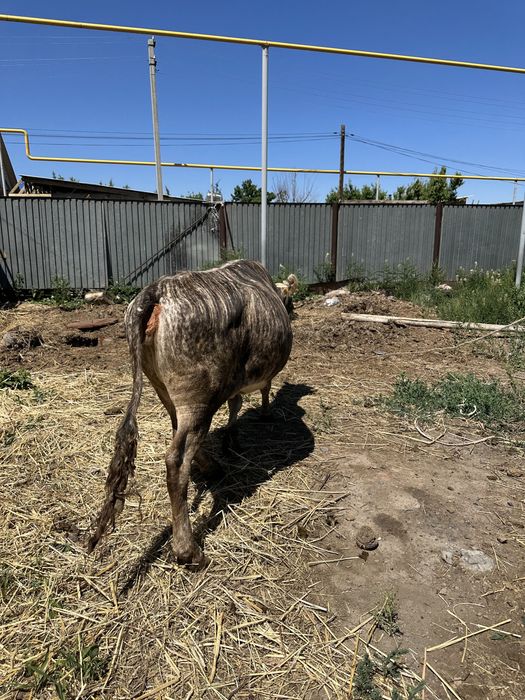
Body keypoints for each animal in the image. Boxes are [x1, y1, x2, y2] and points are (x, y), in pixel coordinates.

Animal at [88, 260, 293, 567]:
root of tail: (157, 289)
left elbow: (236, 405)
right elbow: (251, 397)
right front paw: (259, 419)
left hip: (165, 387)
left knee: (178, 428)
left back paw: (212, 467)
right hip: (199, 393)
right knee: (176, 459)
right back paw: (188, 549)